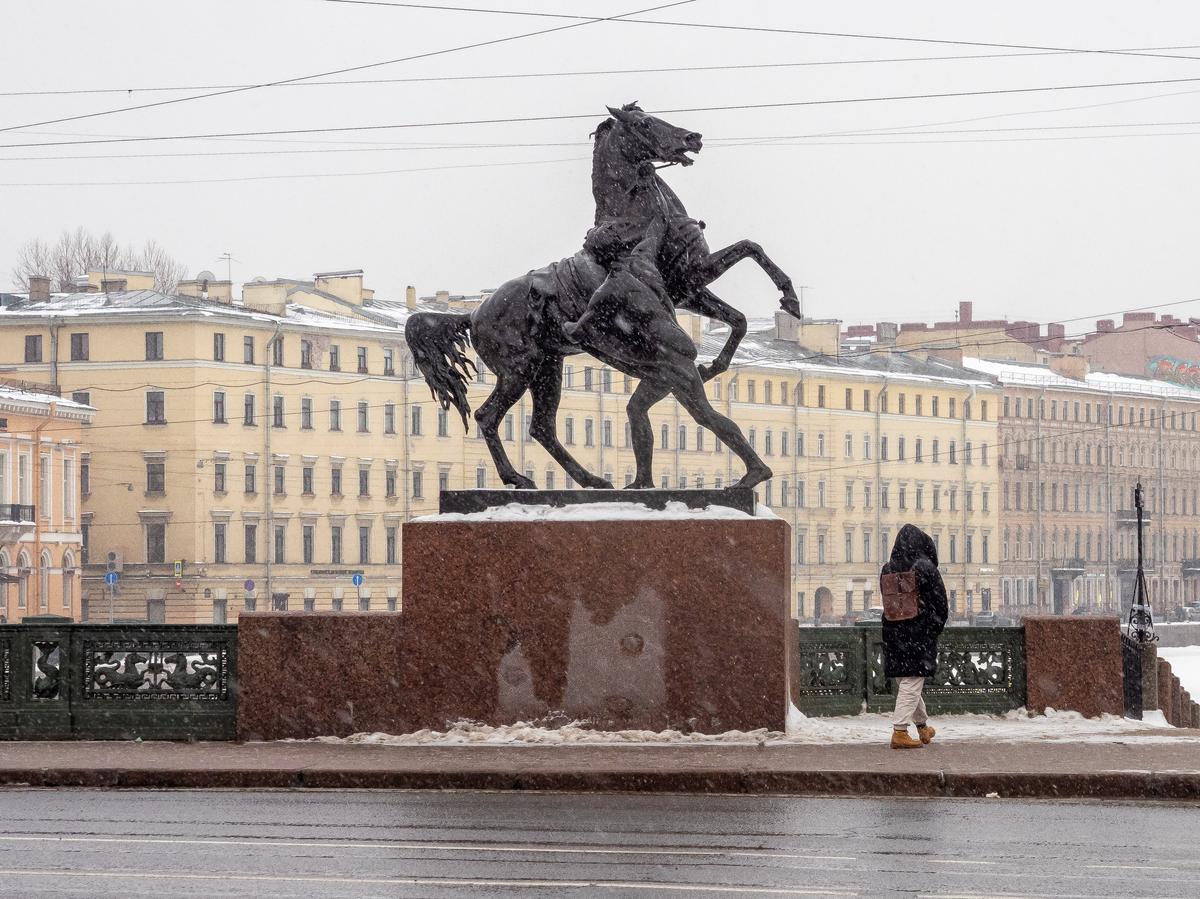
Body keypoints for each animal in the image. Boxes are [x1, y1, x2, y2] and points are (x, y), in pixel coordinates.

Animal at [408, 104, 801, 492]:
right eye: (644, 123)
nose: (693, 137)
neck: (631, 219)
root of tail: (472, 315)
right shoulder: (686, 279)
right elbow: (749, 249)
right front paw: (788, 299)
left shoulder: (688, 286)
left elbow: (740, 308)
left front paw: (719, 362)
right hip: (518, 371)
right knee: (488, 416)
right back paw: (518, 478)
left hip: (548, 368)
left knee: (541, 427)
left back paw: (592, 480)